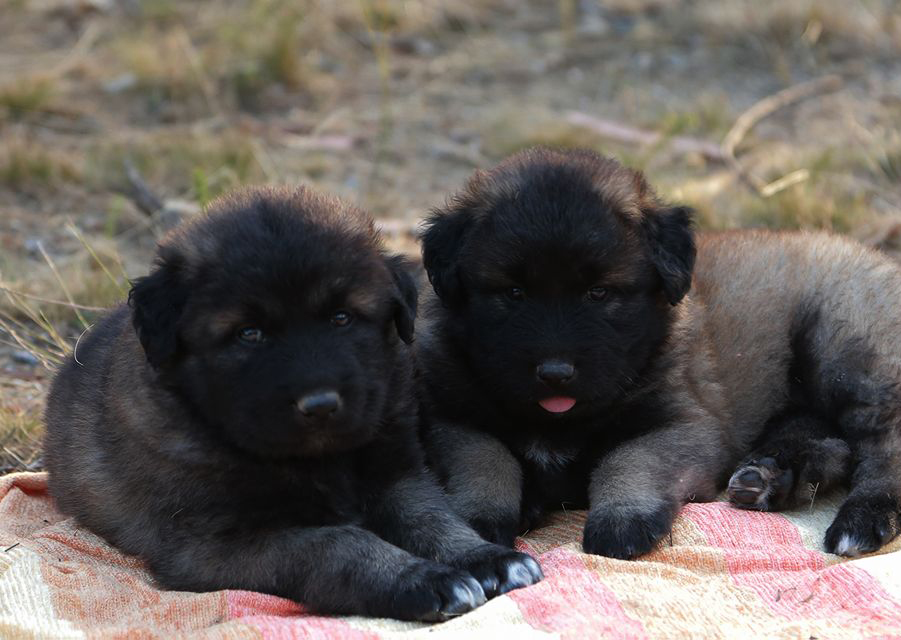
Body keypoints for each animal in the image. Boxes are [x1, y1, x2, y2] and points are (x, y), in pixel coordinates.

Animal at [42, 185, 536, 620]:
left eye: (342, 318)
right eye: (249, 334)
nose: (320, 405)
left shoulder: (399, 475)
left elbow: (434, 518)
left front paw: (486, 557)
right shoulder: (213, 543)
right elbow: (337, 545)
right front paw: (419, 579)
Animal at [416, 149, 900, 560]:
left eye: (599, 293)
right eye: (513, 293)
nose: (555, 373)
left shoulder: (684, 424)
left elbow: (629, 459)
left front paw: (622, 519)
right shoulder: (451, 419)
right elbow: (485, 458)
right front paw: (482, 520)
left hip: (847, 351)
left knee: (884, 444)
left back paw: (862, 517)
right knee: (831, 444)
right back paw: (770, 478)